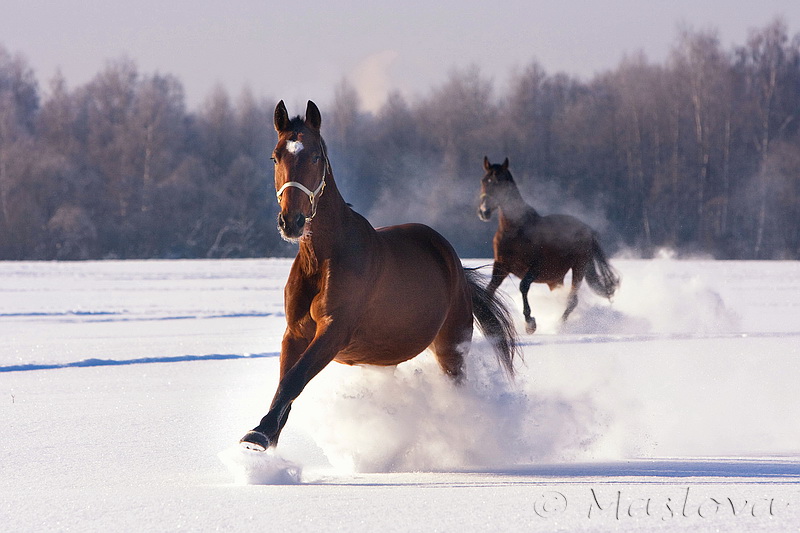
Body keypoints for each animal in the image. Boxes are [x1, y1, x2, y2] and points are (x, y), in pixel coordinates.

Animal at [238, 102, 520, 450]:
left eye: (316, 156)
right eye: (276, 156)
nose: (292, 221)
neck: (323, 258)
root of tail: (452, 262)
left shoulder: (334, 331)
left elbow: (294, 379)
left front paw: (258, 435)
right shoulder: (296, 332)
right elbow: (285, 384)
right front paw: (265, 435)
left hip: (451, 347)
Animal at [478, 156, 620, 334]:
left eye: (499, 182)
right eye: (484, 180)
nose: (484, 211)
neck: (515, 230)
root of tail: (587, 229)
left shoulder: (535, 268)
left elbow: (523, 286)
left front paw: (530, 323)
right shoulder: (501, 267)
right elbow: (488, 292)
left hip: (578, 267)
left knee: (572, 299)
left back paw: (560, 325)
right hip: (555, 278)